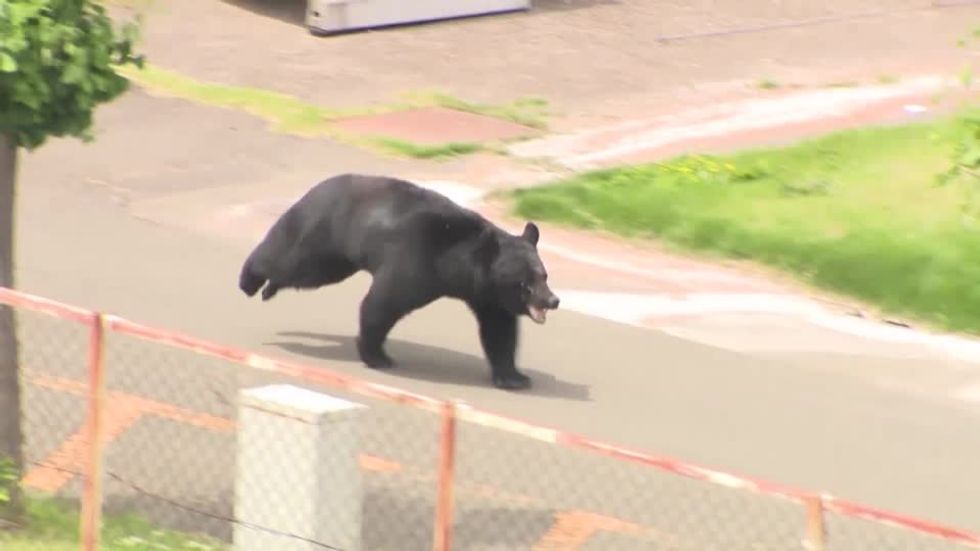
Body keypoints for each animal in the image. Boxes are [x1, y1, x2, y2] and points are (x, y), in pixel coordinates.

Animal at [238, 173, 560, 390]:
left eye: (544, 275)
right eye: (527, 281)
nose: (553, 300)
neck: (461, 262)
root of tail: (316, 188)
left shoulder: (488, 294)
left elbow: (499, 330)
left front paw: (514, 376)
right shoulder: (418, 258)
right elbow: (383, 303)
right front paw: (377, 355)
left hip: (337, 257)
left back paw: (269, 289)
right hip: (324, 234)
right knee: (292, 262)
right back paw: (250, 280)